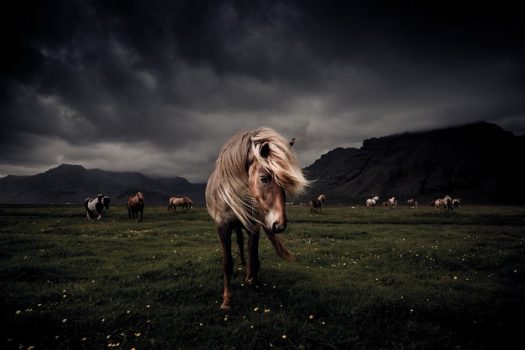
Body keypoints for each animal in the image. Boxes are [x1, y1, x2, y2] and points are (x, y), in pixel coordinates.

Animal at [205, 128, 310, 308]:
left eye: (285, 182)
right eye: (264, 178)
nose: (279, 225)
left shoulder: (254, 225)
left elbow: (254, 258)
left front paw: (253, 281)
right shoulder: (223, 227)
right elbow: (227, 263)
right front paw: (226, 300)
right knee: (240, 242)